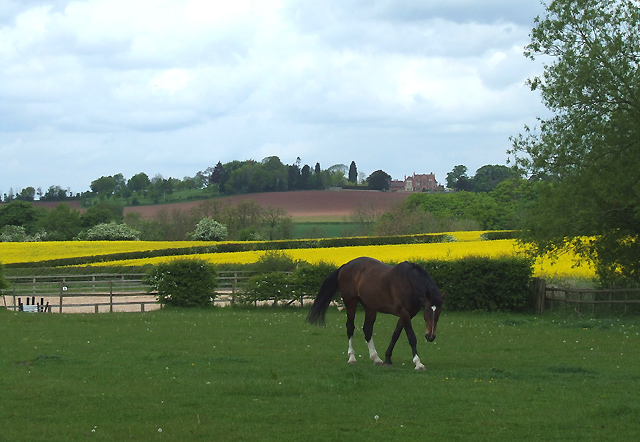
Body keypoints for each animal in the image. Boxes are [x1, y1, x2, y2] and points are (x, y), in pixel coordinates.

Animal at [308, 256, 442, 370]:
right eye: (427, 312)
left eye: (438, 313)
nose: (430, 336)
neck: (409, 282)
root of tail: (345, 266)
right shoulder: (404, 313)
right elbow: (411, 337)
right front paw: (418, 363)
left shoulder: (408, 314)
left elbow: (395, 335)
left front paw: (387, 359)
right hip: (350, 302)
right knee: (350, 327)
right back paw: (352, 357)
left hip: (370, 307)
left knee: (367, 329)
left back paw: (376, 358)